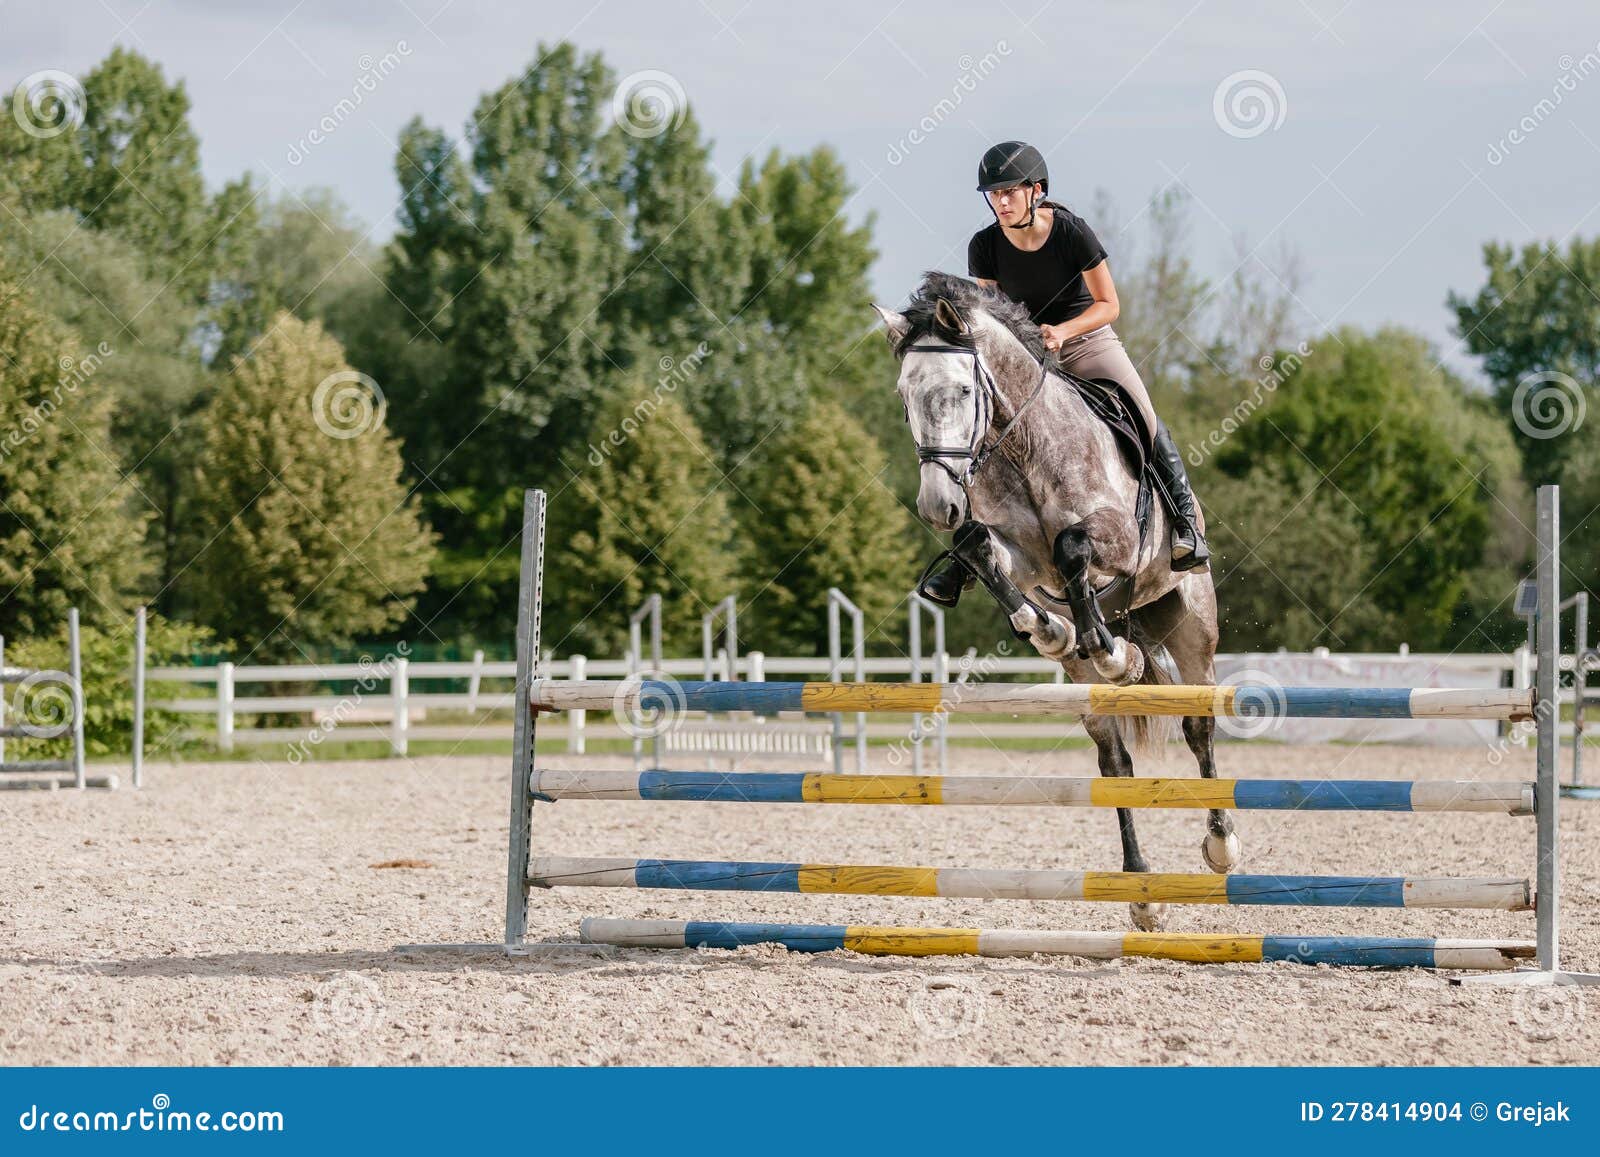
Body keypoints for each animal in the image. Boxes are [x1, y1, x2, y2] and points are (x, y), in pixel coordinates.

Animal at [876, 272, 1235, 934]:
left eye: (961, 390)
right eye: (905, 396)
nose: (938, 506)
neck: (1021, 446)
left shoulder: (1117, 538)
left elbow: (1072, 545)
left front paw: (1110, 651)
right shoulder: (1018, 556)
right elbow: (981, 550)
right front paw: (1049, 629)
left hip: (1190, 622)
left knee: (1198, 725)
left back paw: (1222, 844)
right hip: (1085, 681)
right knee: (1114, 760)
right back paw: (1141, 892)